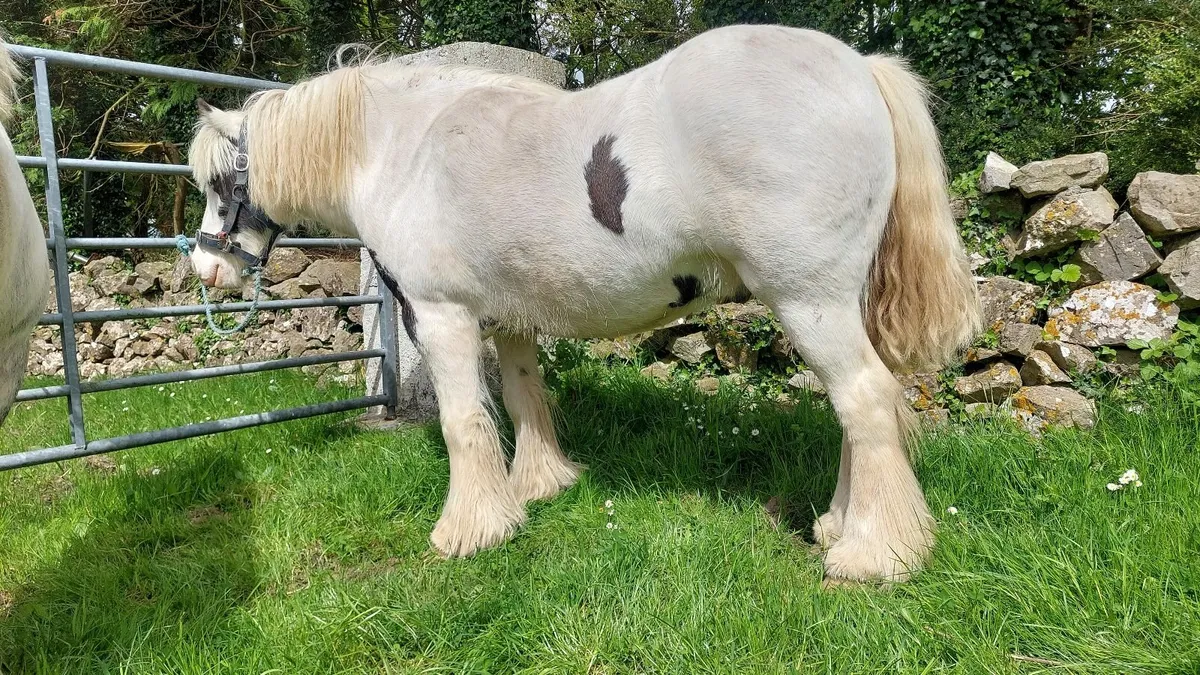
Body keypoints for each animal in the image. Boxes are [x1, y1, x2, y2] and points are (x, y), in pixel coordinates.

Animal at [187, 24, 982, 583]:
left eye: (223, 182)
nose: (206, 267)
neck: (403, 146)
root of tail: (859, 68)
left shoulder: (442, 314)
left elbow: (463, 420)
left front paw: (468, 530)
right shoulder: (507, 320)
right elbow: (521, 398)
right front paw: (537, 487)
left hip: (809, 302)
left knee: (865, 400)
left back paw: (873, 555)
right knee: (859, 409)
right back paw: (840, 526)